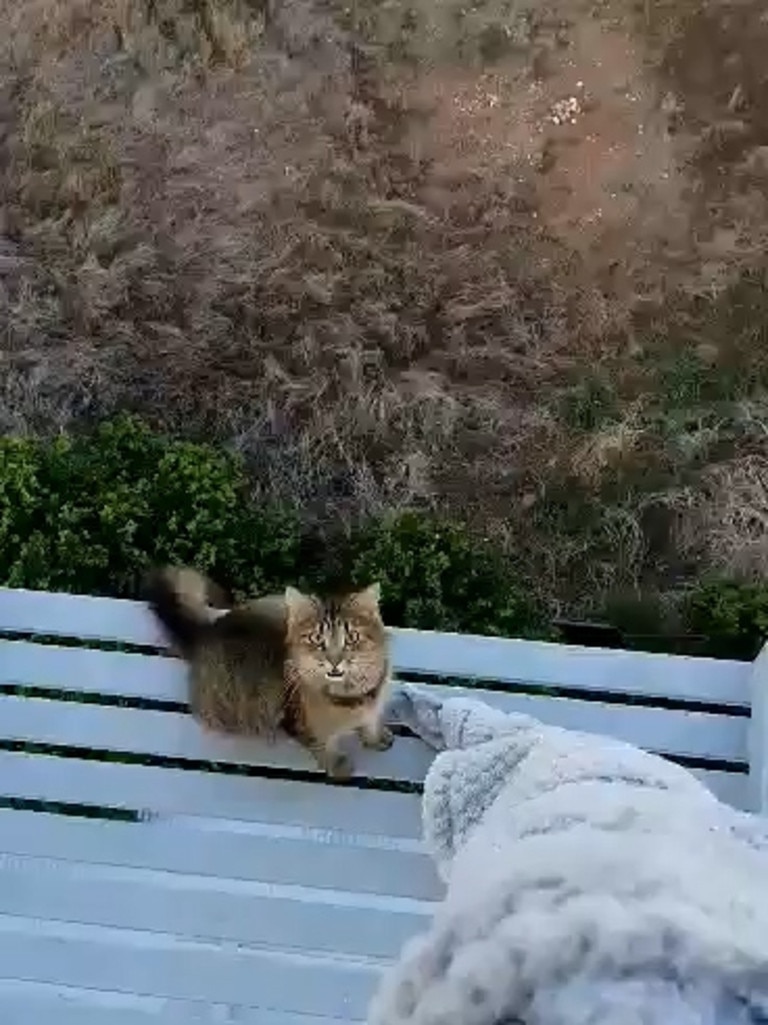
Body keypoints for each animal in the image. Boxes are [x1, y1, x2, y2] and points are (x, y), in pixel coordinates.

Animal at [143, 569, 391, 774]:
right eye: (316, 639)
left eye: (352, 638)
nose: (334, 661)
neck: (353, 693)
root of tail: (206, 633)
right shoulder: (300, 723)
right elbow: (324, 746)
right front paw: (338, 766)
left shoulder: (373, 705)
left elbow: (371, 722)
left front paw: (376, 738)